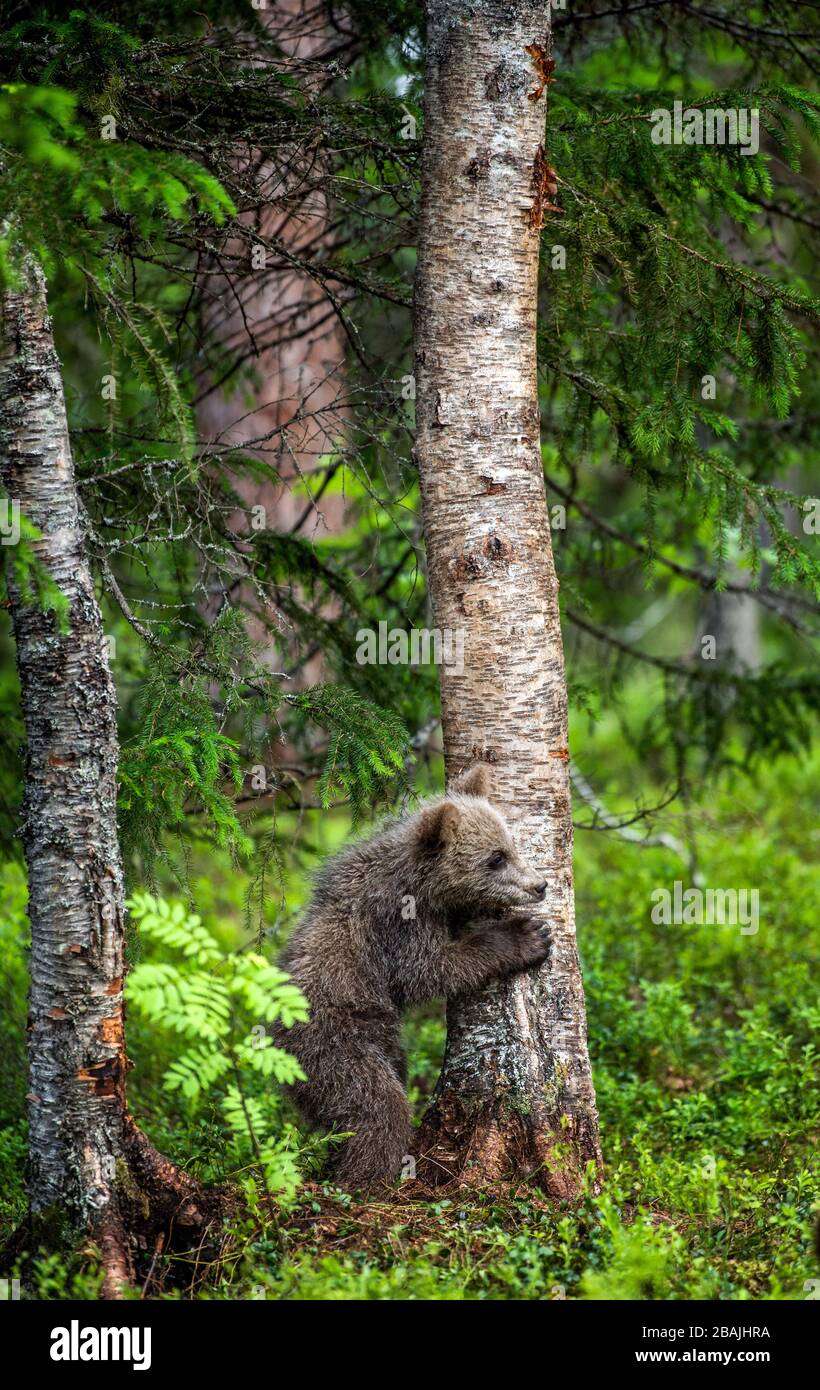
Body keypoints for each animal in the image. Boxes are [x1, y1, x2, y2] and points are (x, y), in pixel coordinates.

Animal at [275, 763, 550, 1190]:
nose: (539, 885)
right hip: (333, 1043)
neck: (424, 885)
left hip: (380, 1040)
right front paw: (525, 936)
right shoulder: (397, 923)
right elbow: (428, 971)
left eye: (511, 845)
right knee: (376, 1107)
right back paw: (369, 1179)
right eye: (495, 858)